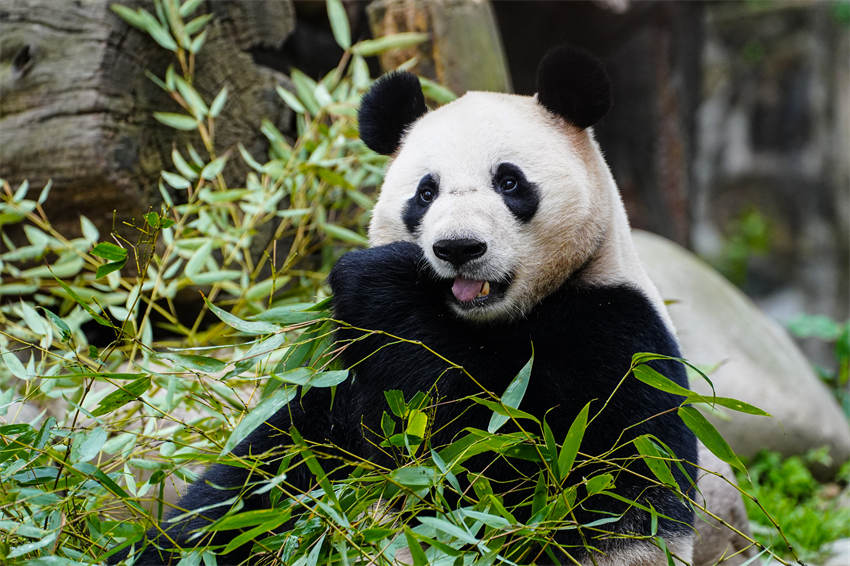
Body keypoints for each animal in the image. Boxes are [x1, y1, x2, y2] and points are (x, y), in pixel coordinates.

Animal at [115, 46, 697, 565]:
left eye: (510, 182)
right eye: (425, 193)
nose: (458, 248)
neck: (489, 320)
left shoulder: (610, 337)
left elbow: (497, 472)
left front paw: (380, 281)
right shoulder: (330, 385)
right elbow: (259, 477)